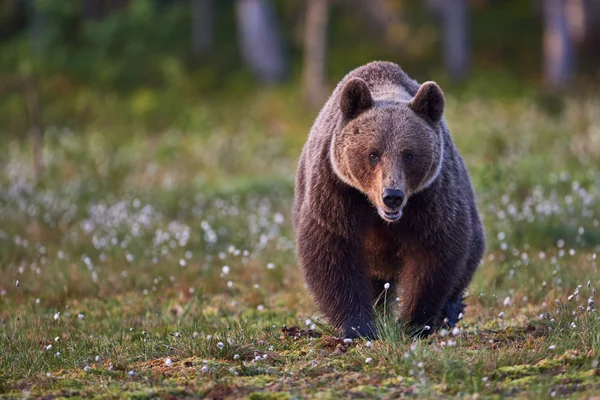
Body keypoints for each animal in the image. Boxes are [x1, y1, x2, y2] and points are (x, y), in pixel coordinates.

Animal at [292, 61, 486, 338]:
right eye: (373, 153)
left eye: (409, 154)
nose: (392, 196)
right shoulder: (337, 190)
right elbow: (332, 251)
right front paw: (358, 326)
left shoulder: (430, 198)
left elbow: (433, 253)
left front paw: (415, 323)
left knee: (468, 255)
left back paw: (450, 310)